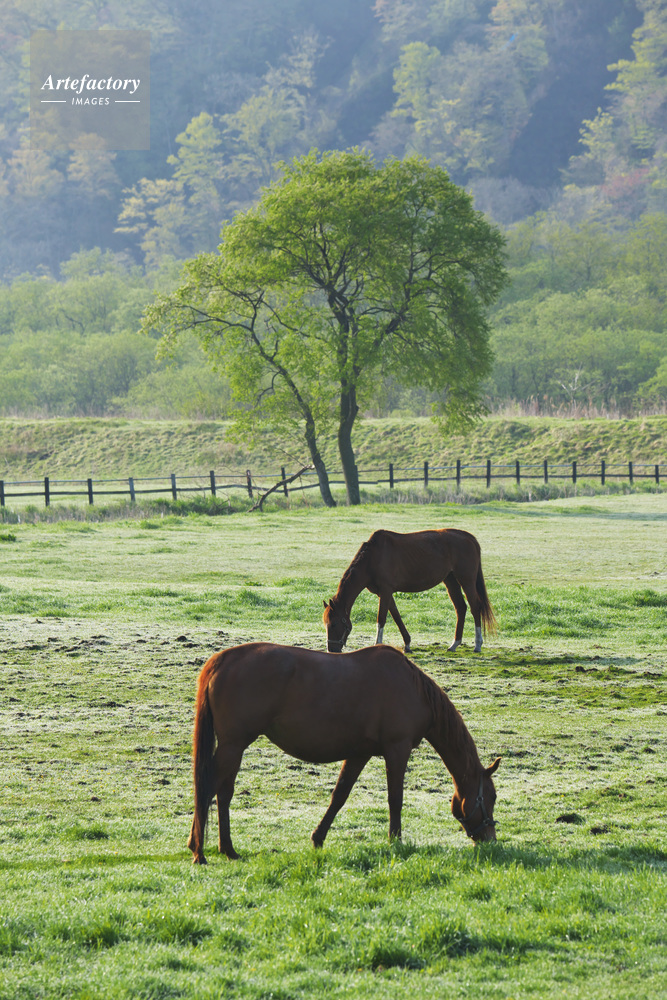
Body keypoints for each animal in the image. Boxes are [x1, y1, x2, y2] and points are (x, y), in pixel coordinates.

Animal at [187, 642, 500, 863]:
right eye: (492, 796)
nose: (491, 839)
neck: (413, 689)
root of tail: (220, 661)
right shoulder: (396, 750)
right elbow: (395, 799)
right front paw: (396, 841)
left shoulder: (359, 753)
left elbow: (339, 796)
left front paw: (318, 838)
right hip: (233, 746)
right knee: (208, 788)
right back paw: (199, 851)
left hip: (234, 748)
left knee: (223, 793)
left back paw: (227, 849)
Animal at [323, 528, 496, 654]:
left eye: (334, 624)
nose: (332, 649)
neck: (373, 557)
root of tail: (469, 538)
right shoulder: (384, 593)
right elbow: (396, 616)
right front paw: (407, 644)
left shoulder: (385, 591)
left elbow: (381, 619)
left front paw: (378, 644)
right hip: (450, 581)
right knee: (461, 608)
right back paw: (454, 644)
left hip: (466, 581)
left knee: (475, 607)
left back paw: (477, 645)